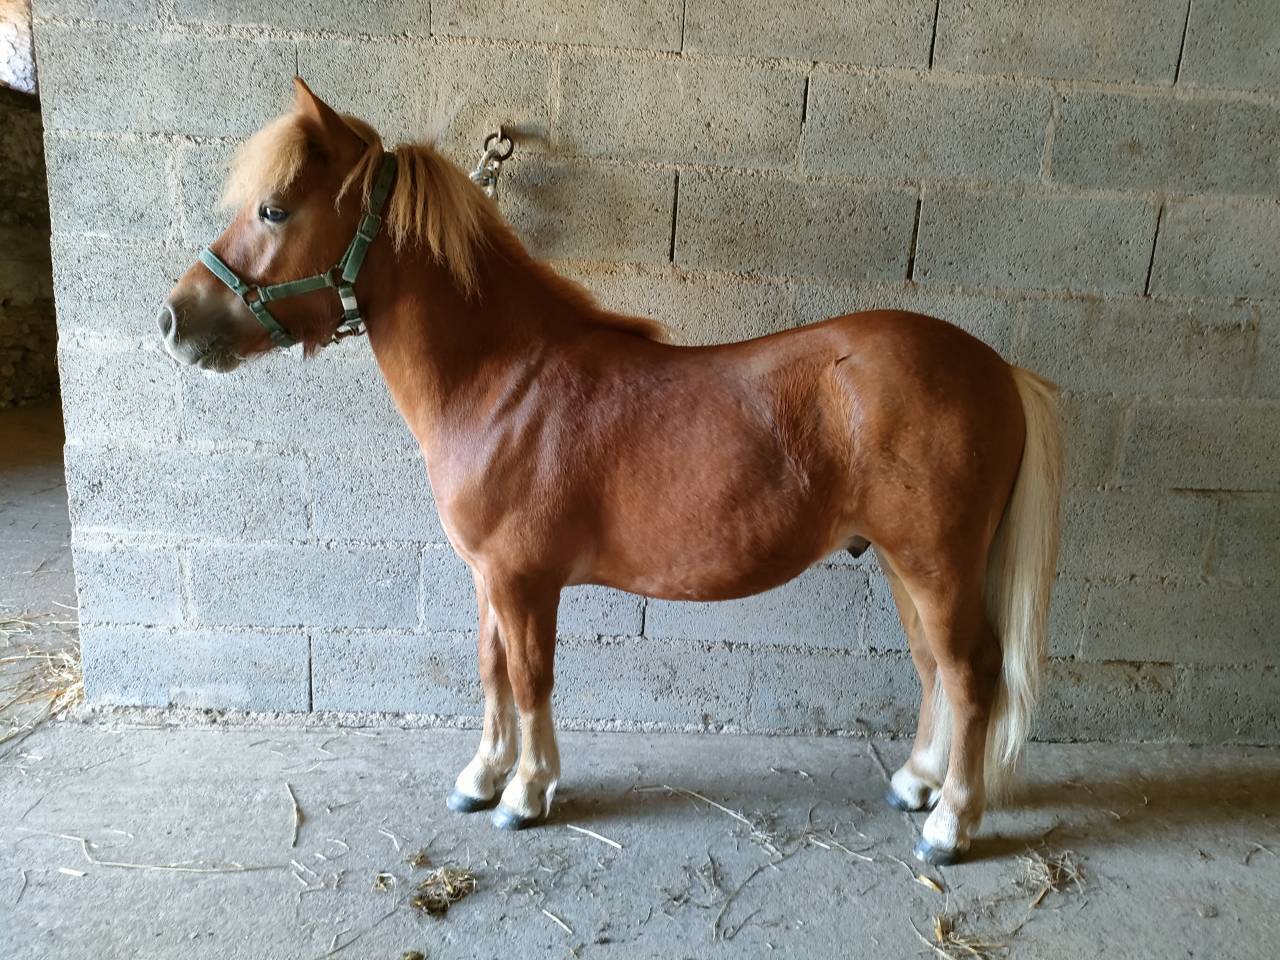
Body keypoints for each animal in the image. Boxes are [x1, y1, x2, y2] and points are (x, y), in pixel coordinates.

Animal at [158, 78, 1064, 865]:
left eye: (275, 208)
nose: (173, 319)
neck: (500, 382)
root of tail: (1000, 370)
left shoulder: (524, 579)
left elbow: (530, 678)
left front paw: (526, 793)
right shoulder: (490, 577)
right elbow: (490, 670)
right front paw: (481, 778)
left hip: (936, 564)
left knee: (972, 675)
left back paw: (949, 825)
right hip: (903, 564)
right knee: (934, 670)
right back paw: (917, 784)